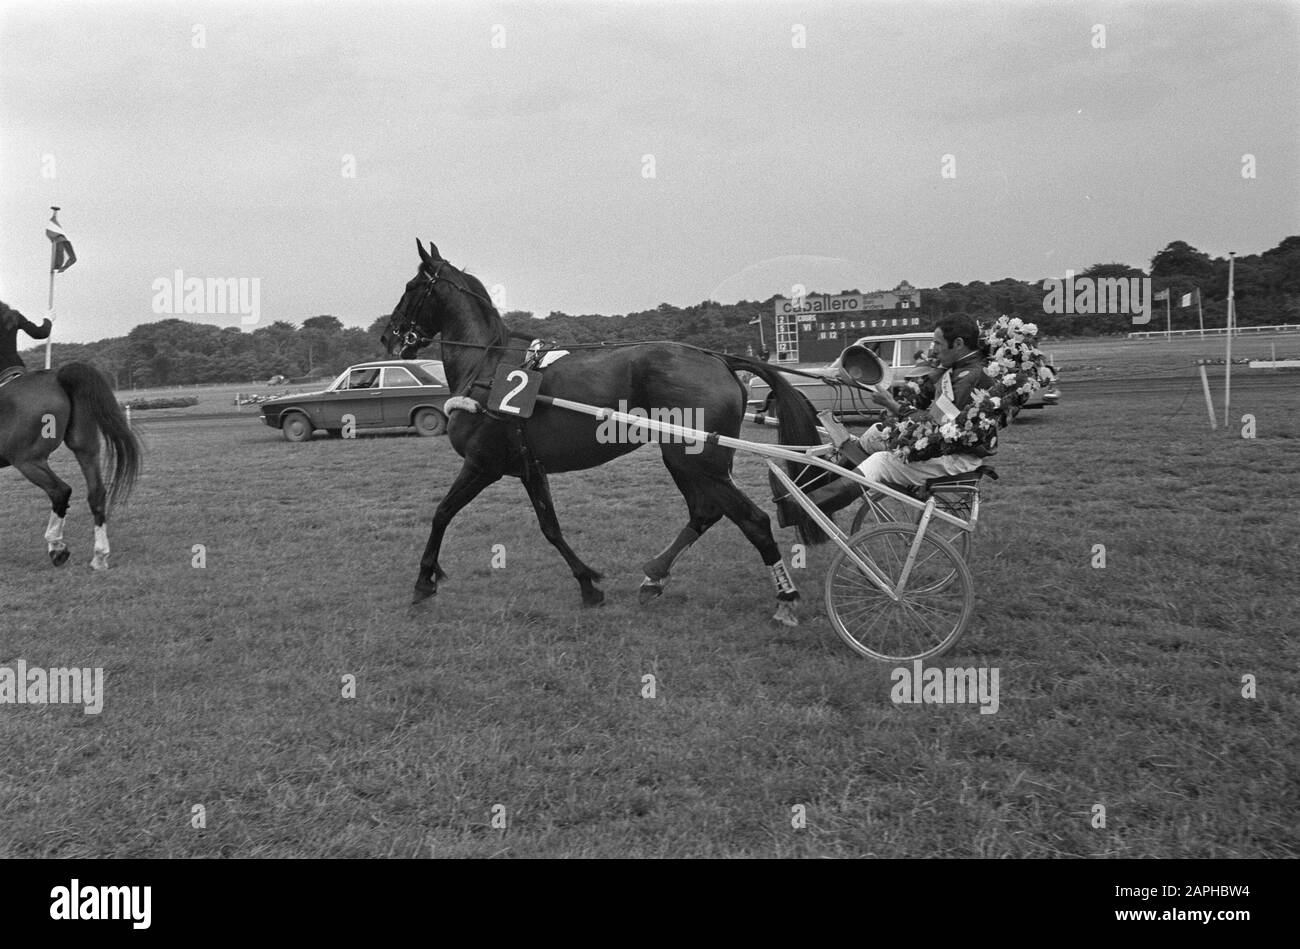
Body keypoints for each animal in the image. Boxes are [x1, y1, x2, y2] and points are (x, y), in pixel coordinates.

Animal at [0, 361, 141, 566]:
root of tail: (57, 376)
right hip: (85, 448)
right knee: (96, 493)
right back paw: (99, 556)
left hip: (28, 461)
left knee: (60, 491)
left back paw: (57, 547)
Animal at [382, 237, 832, 621]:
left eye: (410, 286)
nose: (389, 336)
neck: (487, 368)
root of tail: (719, 360)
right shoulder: (530, 469)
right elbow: (550, 527)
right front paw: (588, 584)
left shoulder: (482, 464)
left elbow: (442, 513)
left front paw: (424, 581)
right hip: (685, 460)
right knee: (705, 512)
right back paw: (655, 576)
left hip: (698, 459)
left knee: (752, 520)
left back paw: (785, 596)